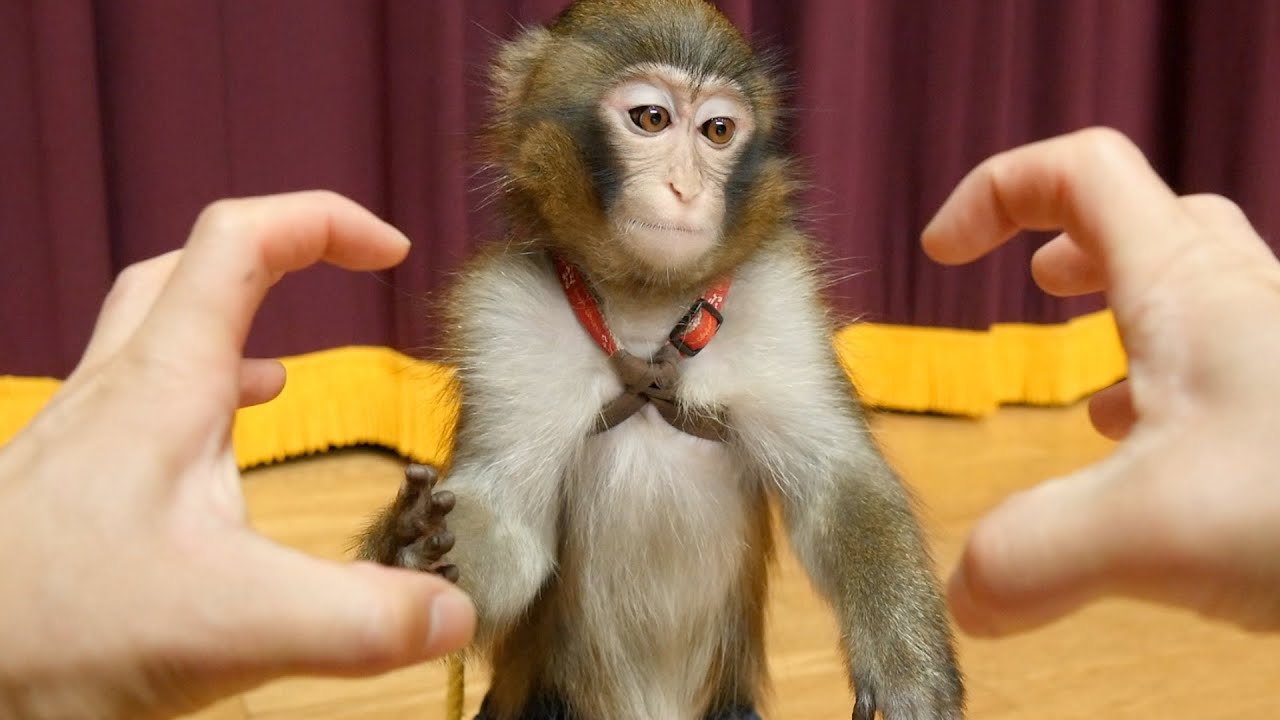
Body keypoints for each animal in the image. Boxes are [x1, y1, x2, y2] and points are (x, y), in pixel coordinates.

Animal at [357, 1, 964, 718]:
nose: (686, 187)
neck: (646, 312)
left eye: (718, 131)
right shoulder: (499, 315)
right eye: (651, 119)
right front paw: (406, 553)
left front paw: (910, 672)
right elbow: (509, 524)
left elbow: (839, 485)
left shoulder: (782, 299)